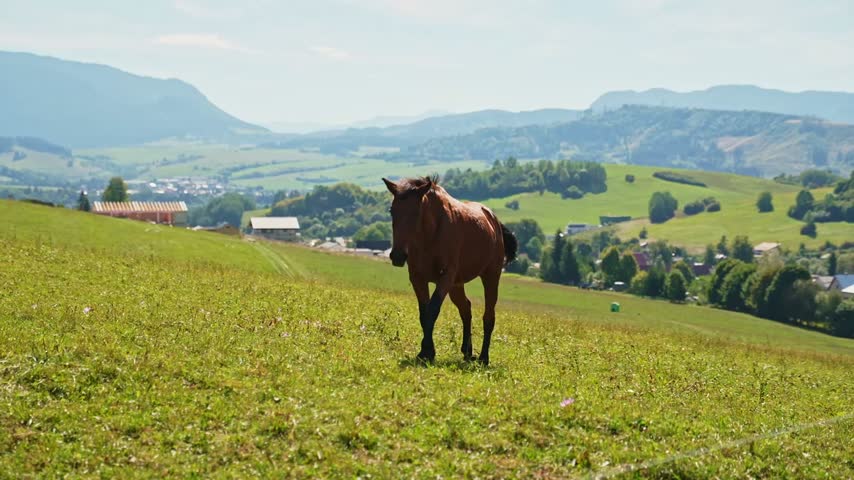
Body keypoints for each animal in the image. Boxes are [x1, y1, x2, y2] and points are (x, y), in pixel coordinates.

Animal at [382, 176, 517, 365]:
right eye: (392, 211)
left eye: (416, 213)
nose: (398, 256)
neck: (431, 235)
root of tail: (493, 220)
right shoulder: (418, 278)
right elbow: (424, 313)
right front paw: (426, 351)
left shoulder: (445, 277)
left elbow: (432, 310)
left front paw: (427, 352)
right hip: (456, 285)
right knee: (466, 309)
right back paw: (467, 351)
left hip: (490, 276)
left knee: (488, 316)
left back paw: (484, 357)